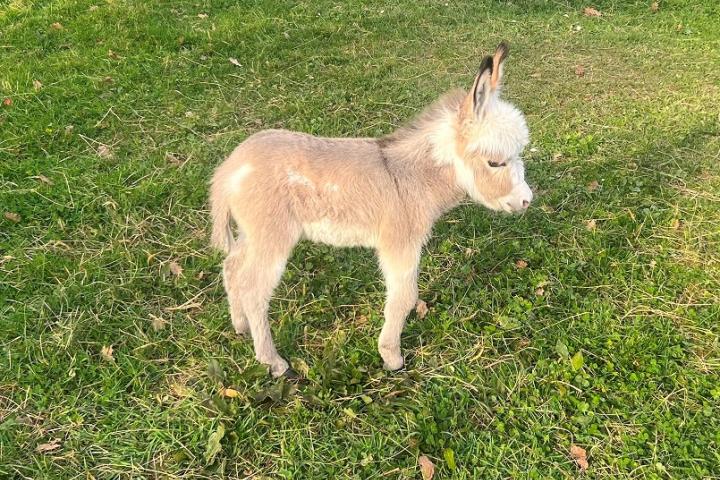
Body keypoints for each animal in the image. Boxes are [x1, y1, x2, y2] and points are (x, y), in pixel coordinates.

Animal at [211, 43, 532, 376]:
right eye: (495, 162)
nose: (526, 201)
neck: (413, 176)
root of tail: (229, 169)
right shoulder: (400, 243)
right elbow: (403, 298)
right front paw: (392, 358)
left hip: (251, 233)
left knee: (232, 267)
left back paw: (240, 326)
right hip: (272, 236)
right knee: (253, 290)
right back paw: (273, 362)